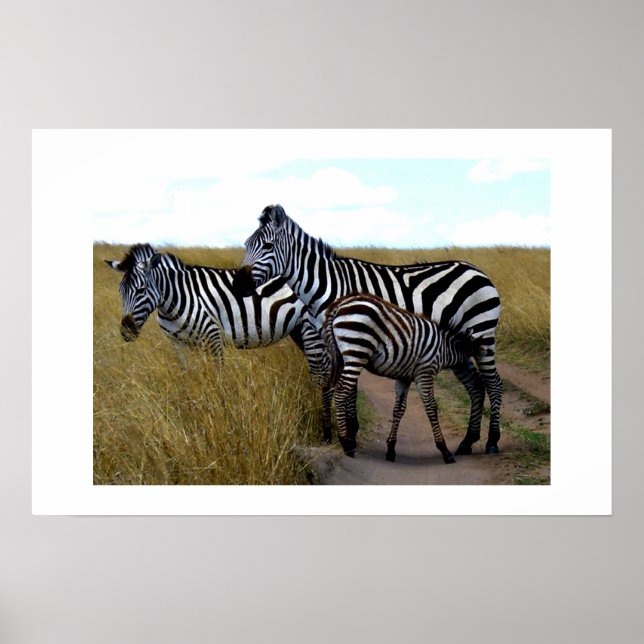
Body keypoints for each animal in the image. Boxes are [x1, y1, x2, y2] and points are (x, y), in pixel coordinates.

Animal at [105, 244, 333, 436]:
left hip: (311, 330)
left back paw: (322, 422)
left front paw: (222, 408)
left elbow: (218, 377)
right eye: (120, 292)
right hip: (299, 330)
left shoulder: (212, 336)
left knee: (320, 374)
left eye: (141, 290)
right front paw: (192, 407)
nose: (126, 332)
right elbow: (189, 377)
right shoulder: (178, 343)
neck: (174, 302)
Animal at [323, 293, 478, 462]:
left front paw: (391, 449)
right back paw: (346, 443)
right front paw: (444, 450)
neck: (444, 348)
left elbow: (399, 409)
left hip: (341, 356)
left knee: (330, 388)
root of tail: (341, 304)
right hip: (357, 352)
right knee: (340, 393)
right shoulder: (425, 372)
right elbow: (431, 407)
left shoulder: (405, 377)